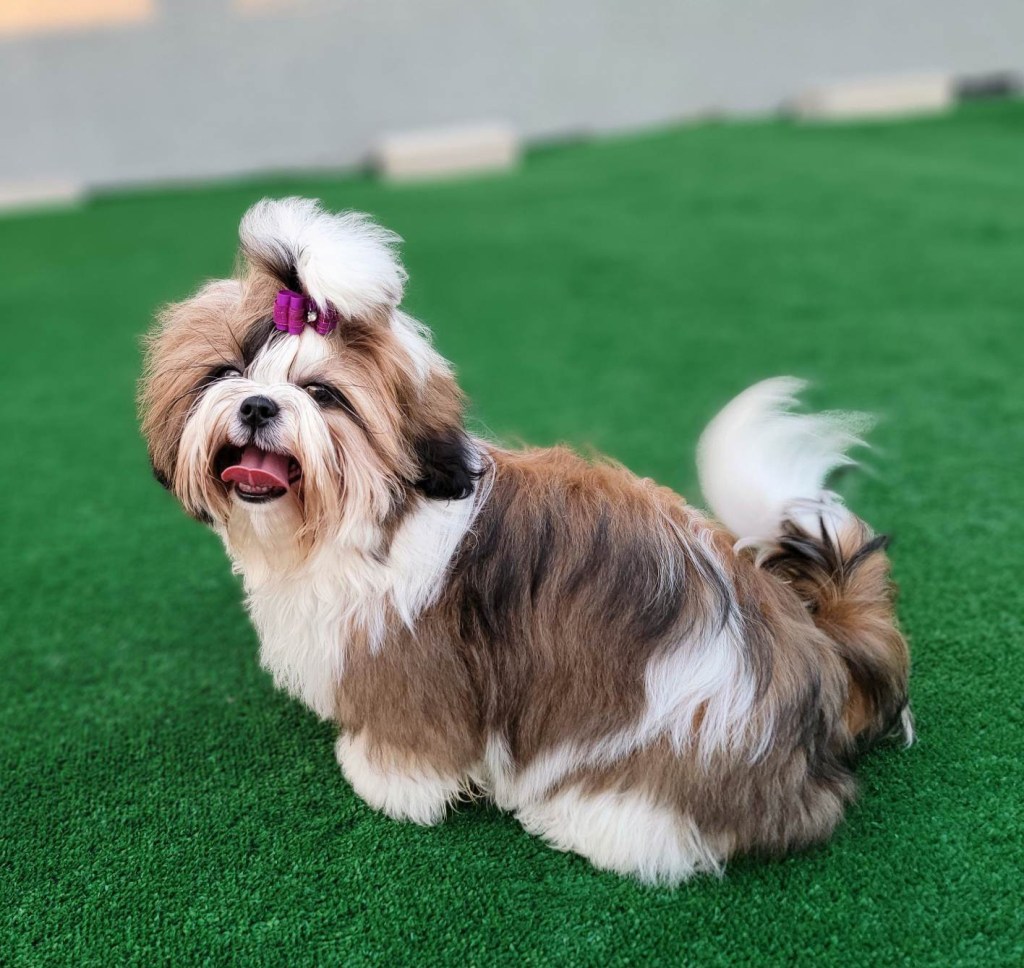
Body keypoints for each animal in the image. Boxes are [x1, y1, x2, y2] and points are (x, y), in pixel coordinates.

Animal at [139, 197, 911, 884]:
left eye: (323, 394)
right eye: (224, 375)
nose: (257, 405)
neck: (367, 515)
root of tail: (816, 653)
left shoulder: (418, 656)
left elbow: (414, 736)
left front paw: (387, 781)